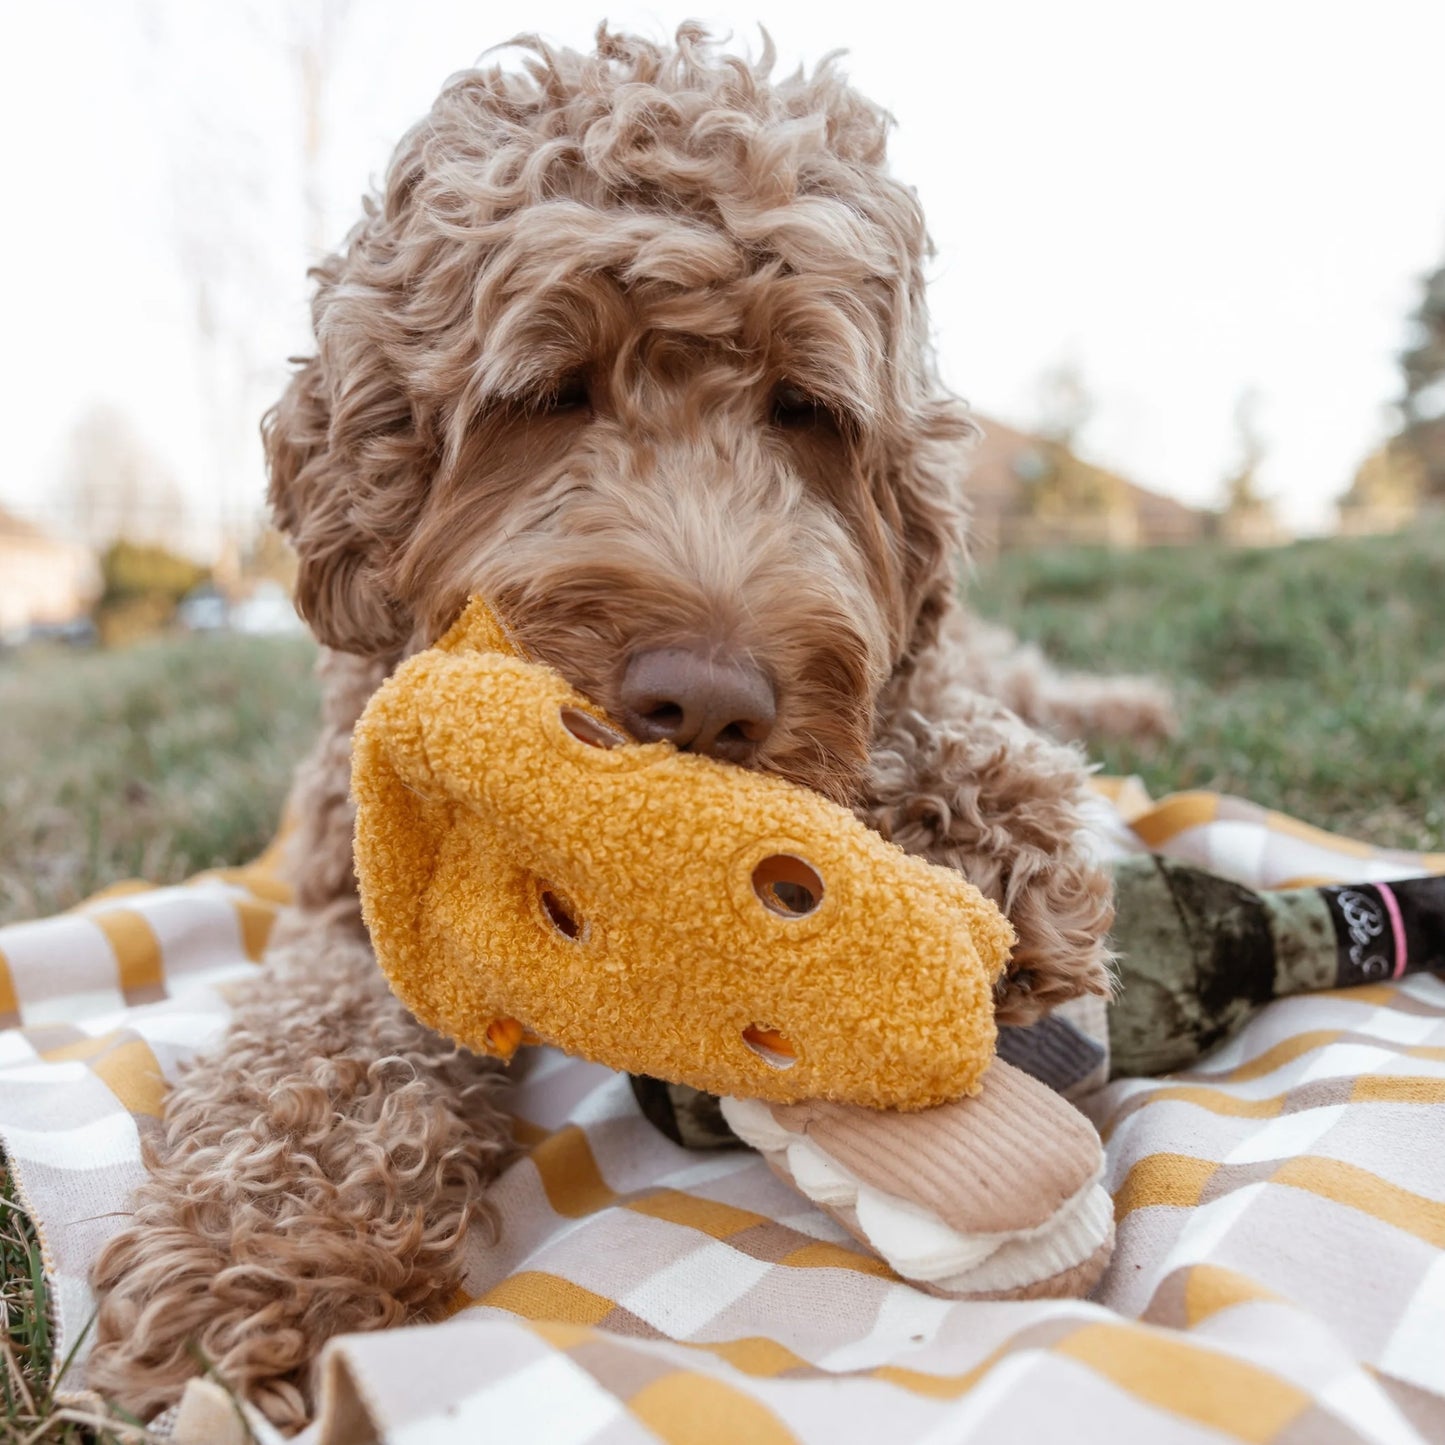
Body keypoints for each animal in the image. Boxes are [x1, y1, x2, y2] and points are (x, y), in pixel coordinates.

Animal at [84, 25, 1161, 1433]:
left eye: (805, 409)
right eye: (551, 390)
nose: (704, 700)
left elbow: (934, 720)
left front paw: (977, 831)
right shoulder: (341, 903)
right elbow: (313, 1053)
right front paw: (251, 1257)